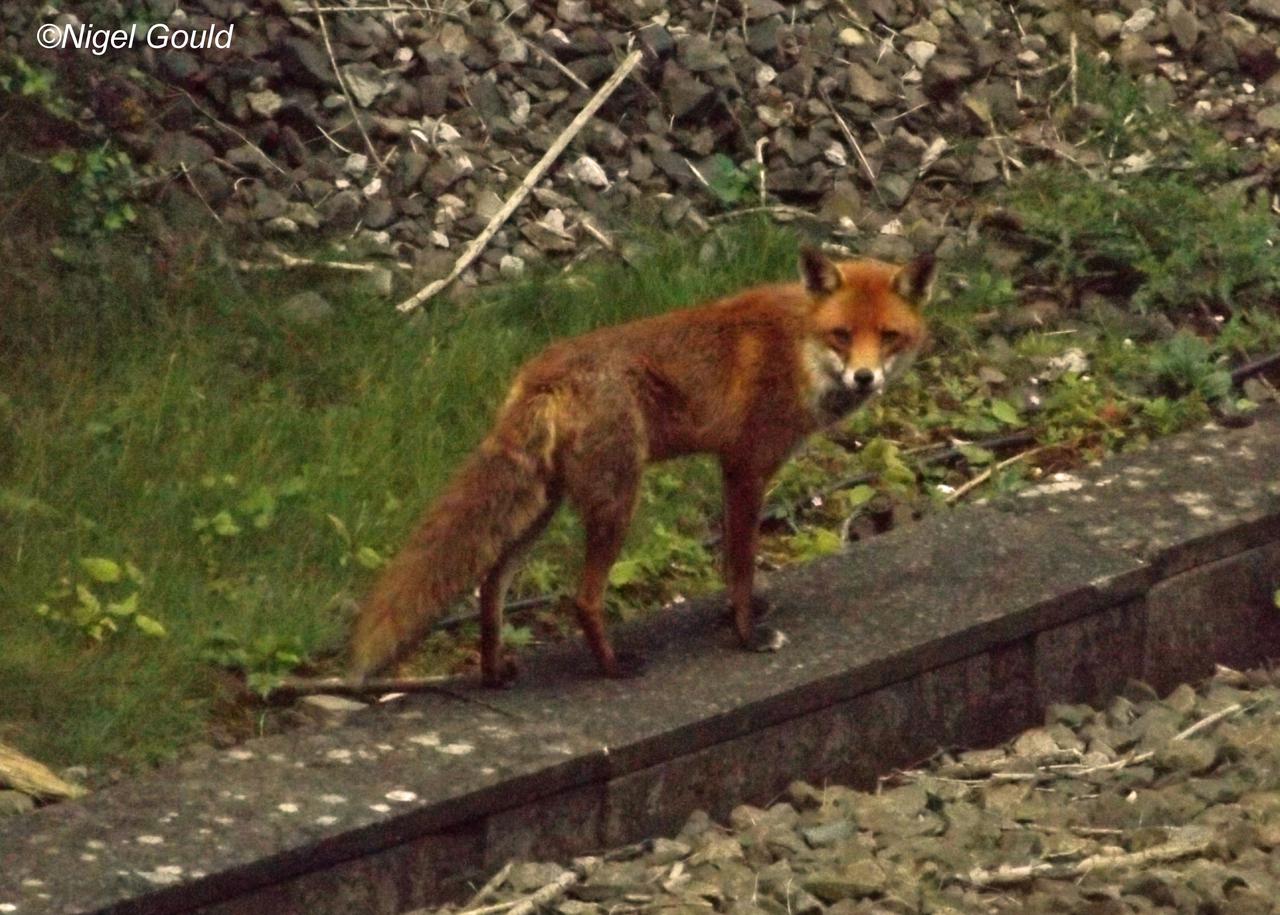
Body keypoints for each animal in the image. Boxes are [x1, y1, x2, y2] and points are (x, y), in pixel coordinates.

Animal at [350, 247, 935, 687]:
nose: (864, 378)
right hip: (616, 500)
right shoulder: (747, 466)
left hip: (542, 506)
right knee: (582, 598)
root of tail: (543, 372)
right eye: (842, 334)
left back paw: (495, 672)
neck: (799, 348)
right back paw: (611, 668)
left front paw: (736, 614)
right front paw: (746, 635)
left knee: (491, 585)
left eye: (888, 336)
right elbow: (743, 564)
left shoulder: (729, 470)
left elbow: (730, 561)